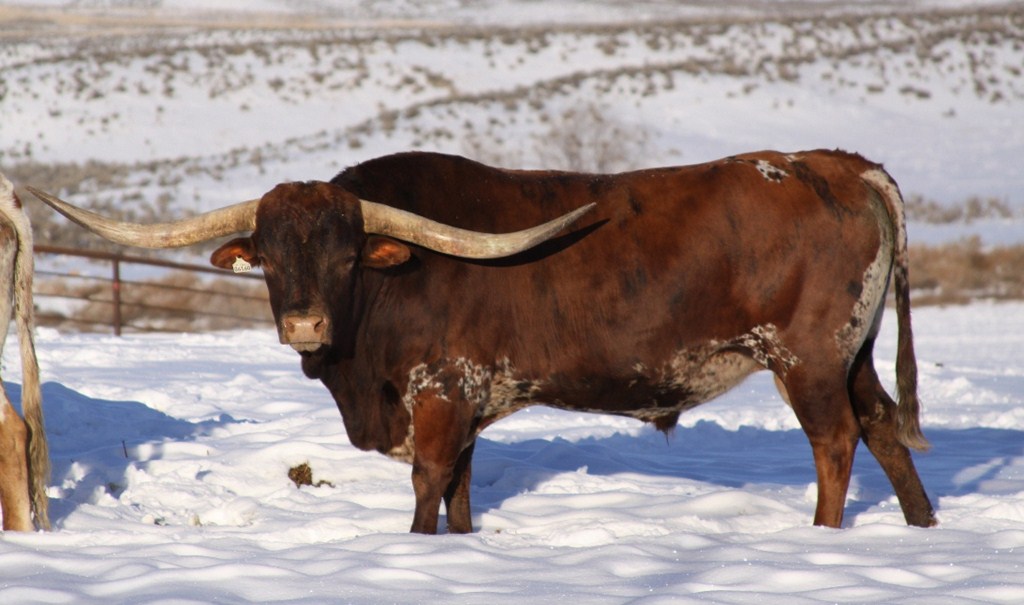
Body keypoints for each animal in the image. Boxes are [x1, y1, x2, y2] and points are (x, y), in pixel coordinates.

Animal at [29, 149, 936, 534]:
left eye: (344, 253)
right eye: (272, 257)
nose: (306, 324)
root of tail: (840, 164)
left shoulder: (438, 395)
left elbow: (430, 485)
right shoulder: (469, 402)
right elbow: (462, 489)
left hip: (806, 359)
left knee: (836, 441)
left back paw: (822, 536)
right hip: (852, 356)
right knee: (884, 428)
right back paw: (922, 525)